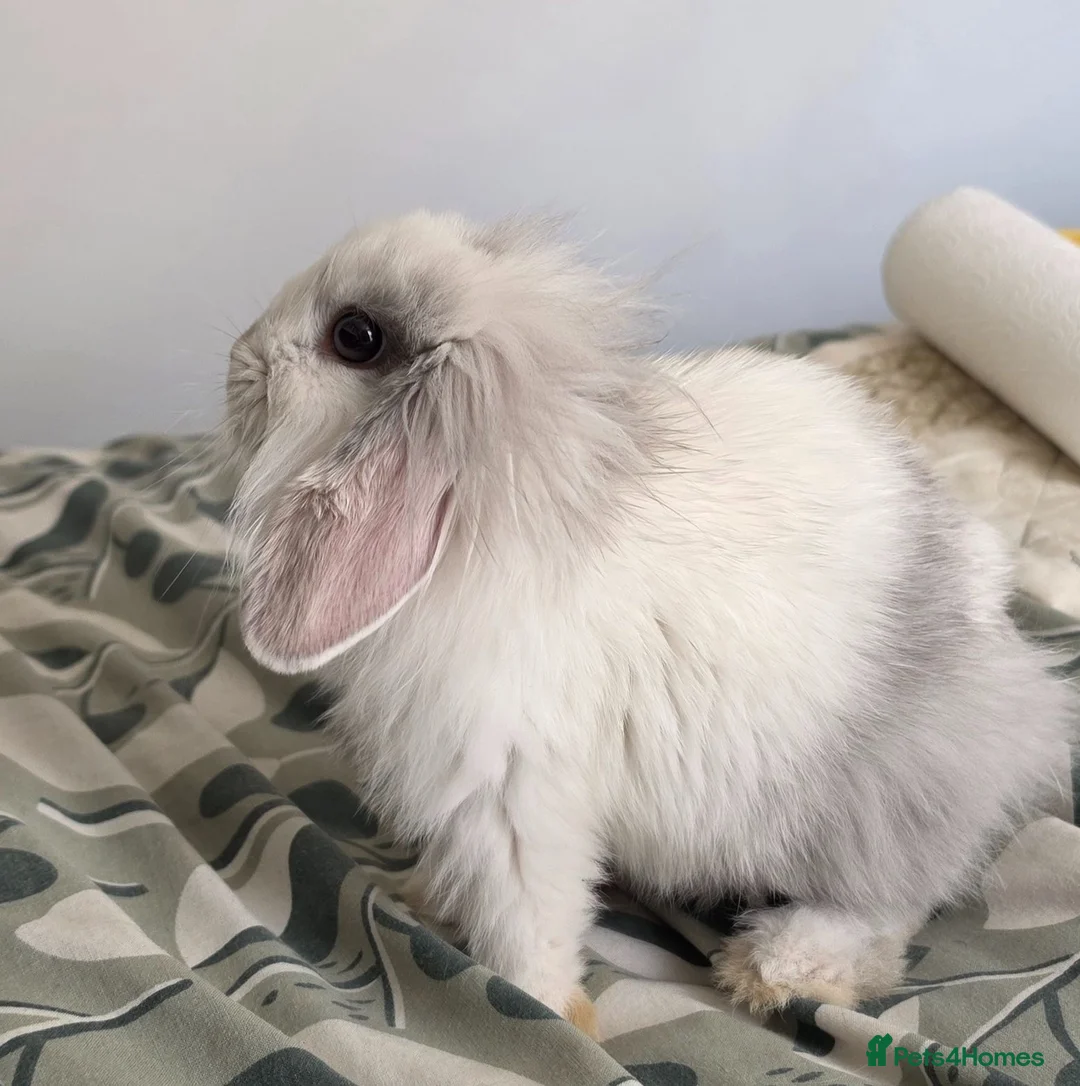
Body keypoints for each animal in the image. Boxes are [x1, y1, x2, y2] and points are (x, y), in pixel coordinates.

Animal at [221, 210, 1075, 1035]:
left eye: (355, 337)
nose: (238, 354)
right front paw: (429, 895)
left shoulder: (513, 795)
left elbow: (527, 918)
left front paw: (543, 1011)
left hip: (870, 803)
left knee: (895, 903)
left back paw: (777, 967)